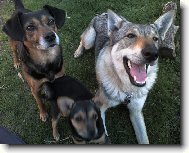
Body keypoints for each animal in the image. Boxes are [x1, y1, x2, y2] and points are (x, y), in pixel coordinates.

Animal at [74, 9, 176, 143]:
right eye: (131, 36)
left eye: (155, 39)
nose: (153, 53)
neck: (127, 91)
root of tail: (103, 14)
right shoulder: (98, 105)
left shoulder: (136, 111)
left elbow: (144, 139)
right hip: (89, 40)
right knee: (82, 41)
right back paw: (78, 52)